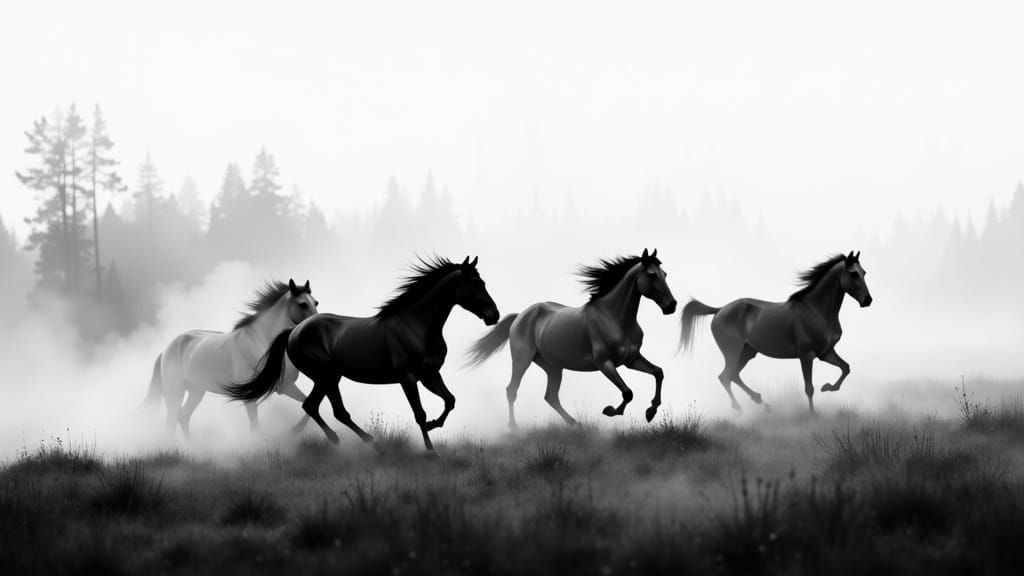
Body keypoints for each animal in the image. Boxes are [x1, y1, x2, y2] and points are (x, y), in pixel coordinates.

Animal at [143, 279, 319, 437]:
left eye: (316, 302)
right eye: (302, 304)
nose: (315, 326)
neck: (260, 342)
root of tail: (166, 350)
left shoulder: (285, 386)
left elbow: (307, 405)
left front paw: (295, 431)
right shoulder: (250, 396)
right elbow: (254, 426)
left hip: (196, 391)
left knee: (183, 416)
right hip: (175, 392)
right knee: (171, 422)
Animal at [225, 256, 499, 451]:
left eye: (484, 283)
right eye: (476, 284)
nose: (493, 315)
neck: (416, 326)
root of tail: (294, 331)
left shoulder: (430, 374)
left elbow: (450, 400)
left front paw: (434, 425)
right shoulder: (408, 378)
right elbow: (419, 413)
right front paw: (431, 450)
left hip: (328, 378)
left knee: (316, 407)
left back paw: (352, 442)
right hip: (326, 376)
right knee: (327, 409)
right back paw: (368, 443)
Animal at [466, 249, 677, 430]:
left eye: (665, 274)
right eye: (652, 275)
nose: (672, 305)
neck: (613, 317)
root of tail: (520, 316)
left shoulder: (630, 360)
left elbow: (658, 372)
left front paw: (651, 411)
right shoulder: (605, 363)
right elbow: (628, 392)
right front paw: (610, 411)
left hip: (553, 366)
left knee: (550, 396)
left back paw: (575, 423)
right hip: (521, 360)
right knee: (512, 390)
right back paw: (514, 428)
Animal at [679, 251, 872, 414]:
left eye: (864, 272)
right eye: (853, 274)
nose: (868, 300)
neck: (815, 310)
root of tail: (720, 310)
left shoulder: (825, 352)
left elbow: (846, 368)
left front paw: (828, 387)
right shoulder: (806, 355)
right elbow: (809, 388)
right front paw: (812, 414)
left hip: (747, 352)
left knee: (732, 375)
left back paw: (761, 402)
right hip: (732, 351)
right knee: (725, 376)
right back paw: (739, 407)